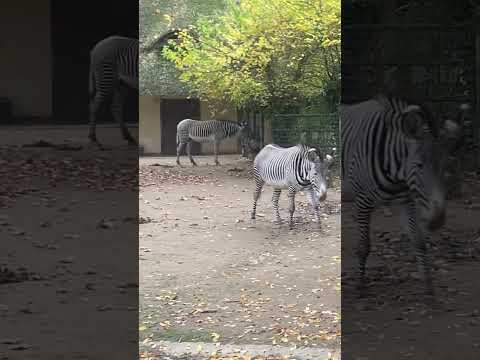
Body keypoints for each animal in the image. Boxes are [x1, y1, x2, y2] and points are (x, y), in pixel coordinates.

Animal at [342, 95, 468, 298]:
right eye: (419, 165)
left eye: (445, 166)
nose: (437, 221)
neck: (396, 172)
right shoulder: (362, 201)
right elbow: (363, 247)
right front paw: (360, 286)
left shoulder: (406, 201)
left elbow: (419, 242)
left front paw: (429, 290)